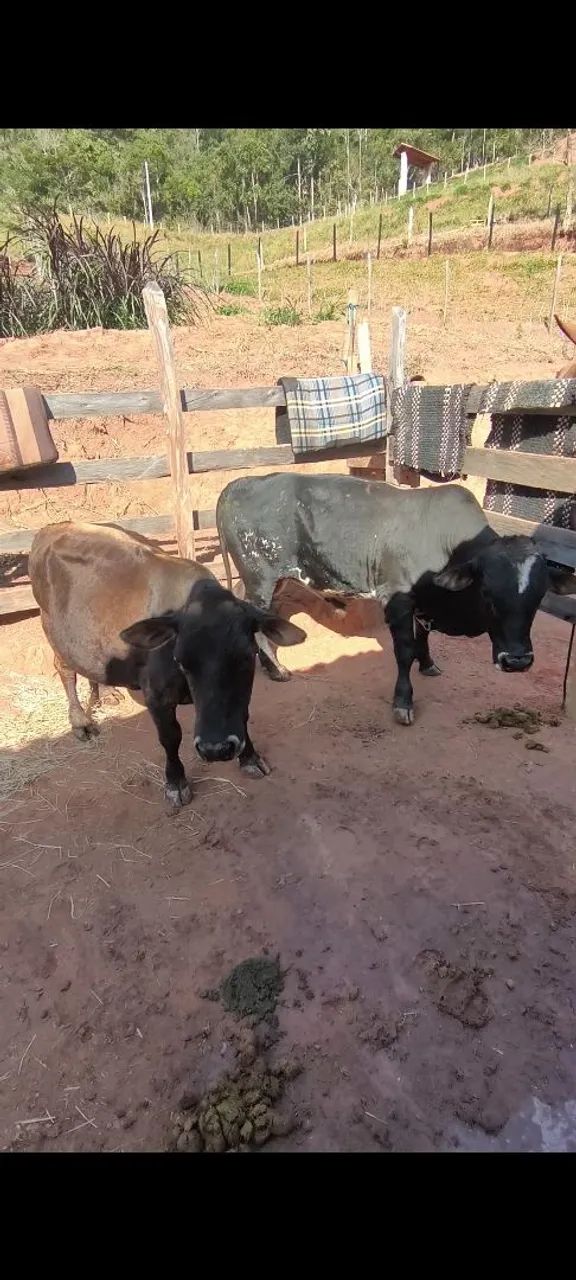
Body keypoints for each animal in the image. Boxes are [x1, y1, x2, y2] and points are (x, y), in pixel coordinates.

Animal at [29, 522, 306, 812]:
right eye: (181, 659)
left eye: (245, 657)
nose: (216, 749)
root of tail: (53, 528)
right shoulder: (157, 697)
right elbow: (171, 737)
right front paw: (176, 782)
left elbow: (242, 716)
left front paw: (250, 758)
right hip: (54, 633)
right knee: (65, 670)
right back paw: (80, 721)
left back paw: (106, 692)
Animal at [216, 473, 576, 726]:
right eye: (487, 592)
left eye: (539, 595)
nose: (517, 661)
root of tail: (238, 483)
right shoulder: (397, 599)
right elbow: (404, 652)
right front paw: (403, 702)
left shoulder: (425, 602)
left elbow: (424, 639)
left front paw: (428, 665)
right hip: (260, 580)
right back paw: (277, 670)